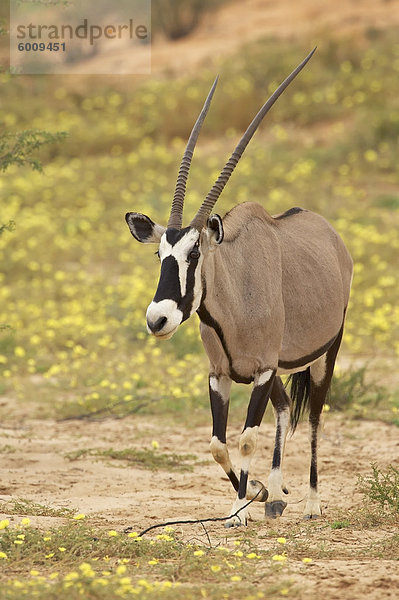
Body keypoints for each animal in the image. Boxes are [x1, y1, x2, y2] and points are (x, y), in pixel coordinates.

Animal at [125, 50, 354, 528]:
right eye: (160, 253)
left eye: (195, 252)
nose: (158, 319)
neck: (232, 303)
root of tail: (332, 236)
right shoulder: (223, 374)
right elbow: (218, 444)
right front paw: (258, 494)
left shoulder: (263, 370)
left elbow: (246, 438)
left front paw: (238, 512)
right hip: (279, 369)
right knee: (285, 409)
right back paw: (277, 494)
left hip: (326, 354)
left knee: (316, 416)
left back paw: (311, 502)